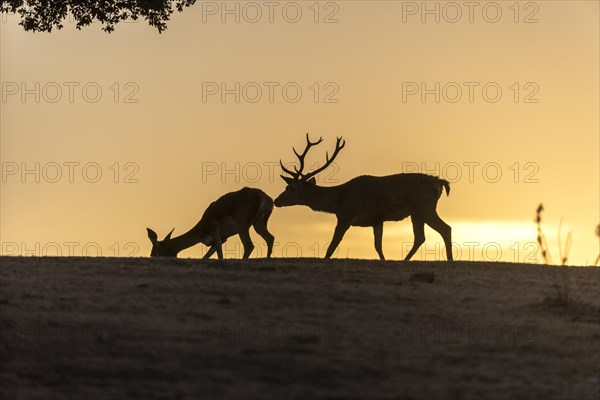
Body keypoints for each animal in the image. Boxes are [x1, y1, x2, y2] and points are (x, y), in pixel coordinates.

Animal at [274, 134, 452, 260]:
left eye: (290, 188)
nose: (276, 201)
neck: (338, 200)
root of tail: (439, 182)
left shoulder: (346, 216)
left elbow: (332, 246)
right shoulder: (377, 220)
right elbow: (378, 247)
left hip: (425, 207)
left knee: (445, 228)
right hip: (416, 213)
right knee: (420, 237)